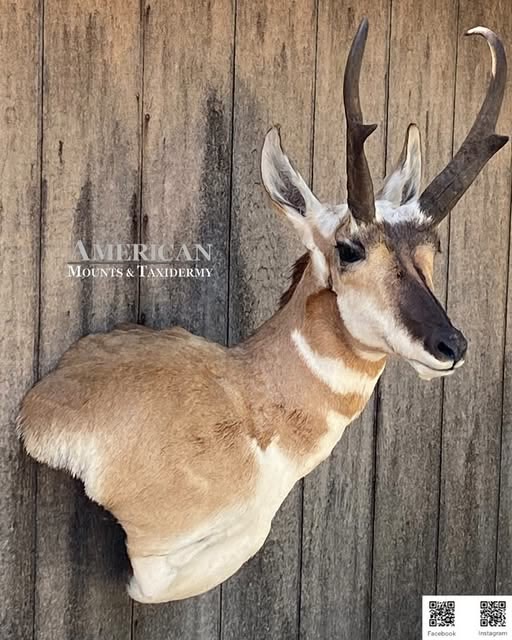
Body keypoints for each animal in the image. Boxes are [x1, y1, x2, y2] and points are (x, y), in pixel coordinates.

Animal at [18, 19, 508, 604]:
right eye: (349, 249)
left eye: (433, 247)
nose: (450, 346)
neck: (250, 399)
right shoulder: (159, 556)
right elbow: (158, 580)